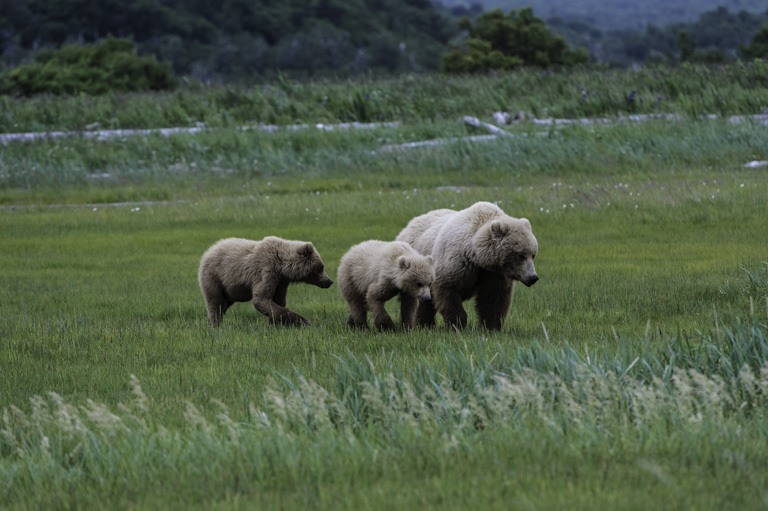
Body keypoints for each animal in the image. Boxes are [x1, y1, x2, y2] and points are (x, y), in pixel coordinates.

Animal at [196, 237, 332, 328]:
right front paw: (301, 320)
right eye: (321, 267)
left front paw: (275, 324)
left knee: (223, 304)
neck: (282, 265)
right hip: (215, 277)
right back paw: (215, 324)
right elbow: (261, 299)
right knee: (215, 303)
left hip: (230, 290)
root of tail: (208, 251)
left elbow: (278, 300)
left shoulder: (280, 281)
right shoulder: (267, 272)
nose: (329, 281)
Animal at [396, 203, 540, 332]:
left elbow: (493, 298)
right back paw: (422, 325)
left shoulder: (493, 273)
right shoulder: (456, 262)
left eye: (533, 255)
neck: (478, 256)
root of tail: (408, 225)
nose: (533, 277)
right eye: (521, 255)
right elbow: (448, 290)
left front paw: (491, 327)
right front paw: (458, 324)